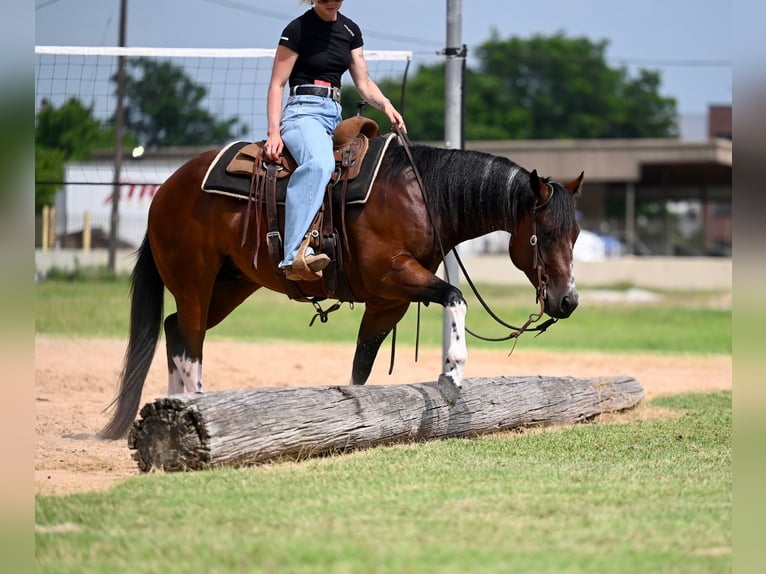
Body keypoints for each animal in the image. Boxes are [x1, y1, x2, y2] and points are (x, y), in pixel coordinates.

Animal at [99, 136, 583, 439]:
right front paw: (453, 373)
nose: (568, 301)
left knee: (174, 327)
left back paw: (178, 403)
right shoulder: (394, 275)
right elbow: (454, 297)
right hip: (195, 281)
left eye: (576, 234)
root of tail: (166, 190)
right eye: (546, 234)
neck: (422, 196)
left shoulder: (388, 302)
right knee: (191, 339)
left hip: (233, 284)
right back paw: (197, 404)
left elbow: (361, 368)